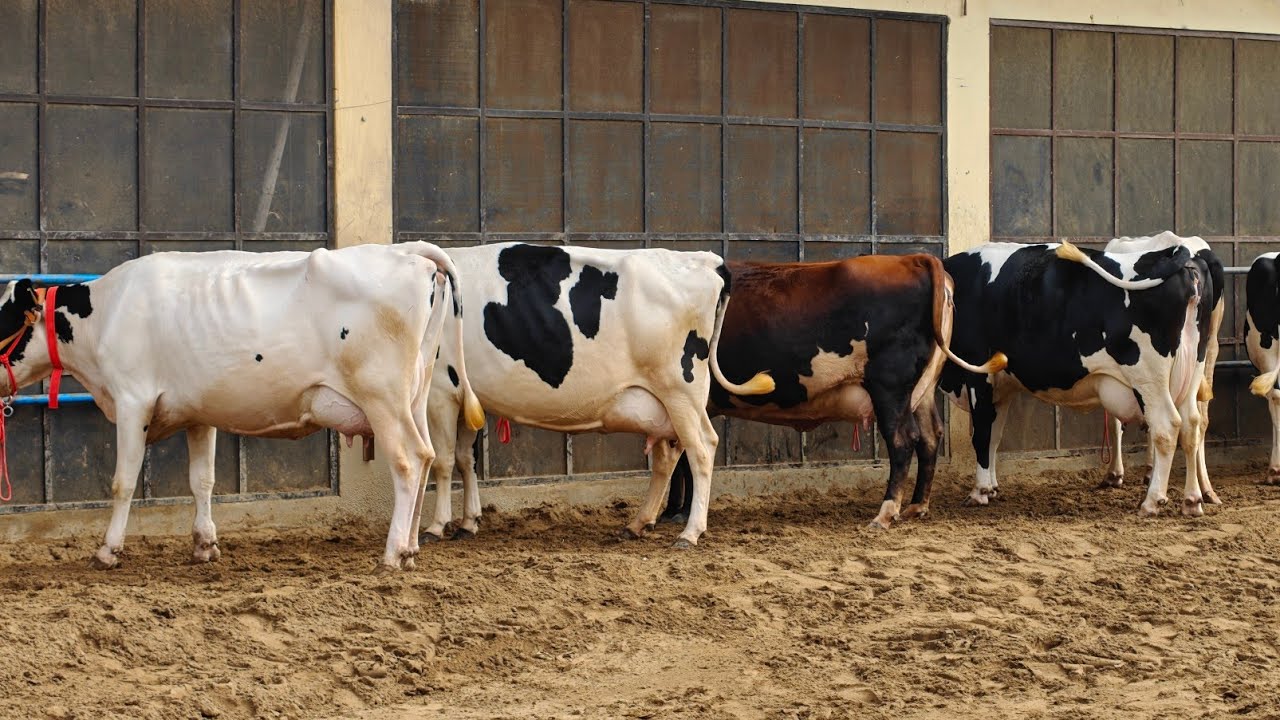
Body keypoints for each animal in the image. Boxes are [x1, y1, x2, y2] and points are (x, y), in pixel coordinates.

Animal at [0, 242, 483, 570]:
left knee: (408, 461)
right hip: (416, 394)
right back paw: (413, 546)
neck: (105, 313)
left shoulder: (132, 401)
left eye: (0, 320)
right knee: (428, 457)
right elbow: (202, 481)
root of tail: (405, 250)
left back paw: (393, 551)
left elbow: (122, 483)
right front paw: (204, 545)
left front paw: (106, 550)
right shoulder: (197, 411)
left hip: (383, 397)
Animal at [416, 243, 774, 549]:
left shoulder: (439, 391)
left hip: (681, 391)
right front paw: (468, 523)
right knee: (668, 457)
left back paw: (690, 532)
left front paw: (436, 526)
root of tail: (706, 260)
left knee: (702, 449)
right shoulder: (463, 396)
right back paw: (638, 523)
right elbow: (466, 459)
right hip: (663, 405)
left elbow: (444, 461)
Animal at [655, 253, 1007, 529]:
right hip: (920, 391)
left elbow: (686, 456)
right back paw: (917, 506)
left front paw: (680, 512)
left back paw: (885, 513)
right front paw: (673, 511)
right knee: (931, 437)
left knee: (903, 440)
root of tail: (914, 258)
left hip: (889, 386)